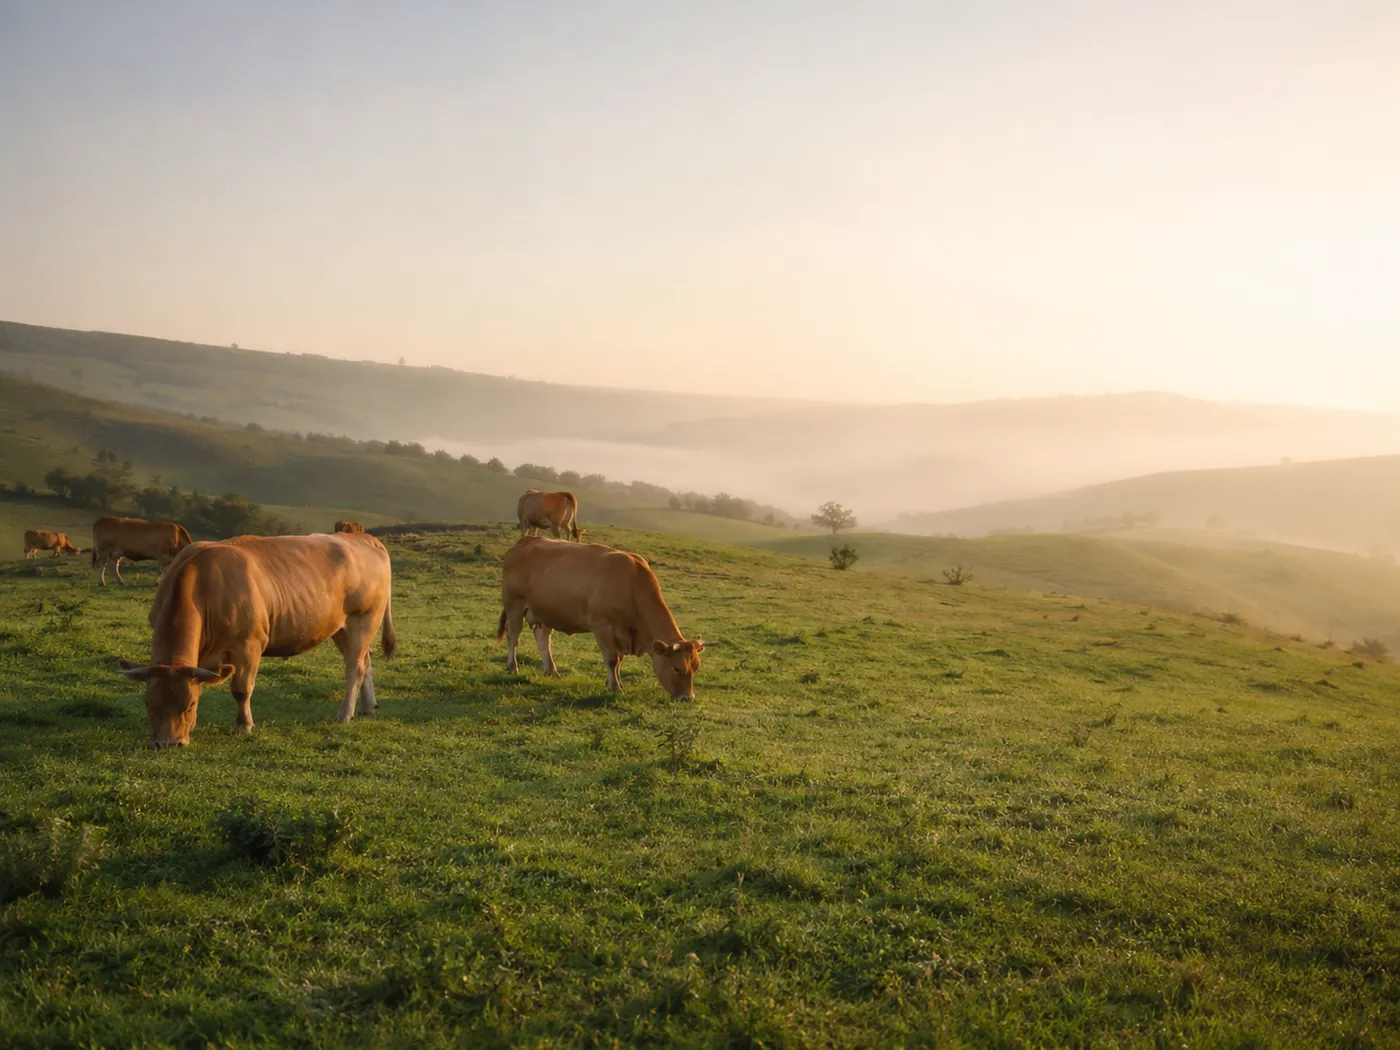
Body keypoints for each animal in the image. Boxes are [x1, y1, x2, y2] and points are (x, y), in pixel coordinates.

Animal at [116, 532, 397, 748]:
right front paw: (194, 725)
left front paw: (243, 726)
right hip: (341, 628)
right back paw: (367, 707)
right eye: (147, 701)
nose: (167, 743)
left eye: (190, 704)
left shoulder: (249, 645)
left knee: (355, 668)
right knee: (366, 661)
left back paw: (344, 714)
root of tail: (363, 537)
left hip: (364, 619)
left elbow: (242, 689)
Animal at [496, 536, 707, 701]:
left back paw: (552, 670)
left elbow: (619, 660)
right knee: (513, 637)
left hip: (545, 612)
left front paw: (613, 683)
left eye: (695, 668)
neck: (632, 583)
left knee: (543, 641)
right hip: (514, 605)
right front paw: (614, 687)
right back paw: (512, 667)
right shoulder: (602, 628)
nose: (687, 698)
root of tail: (524, 542)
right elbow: (612, 659)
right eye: (677, 669)